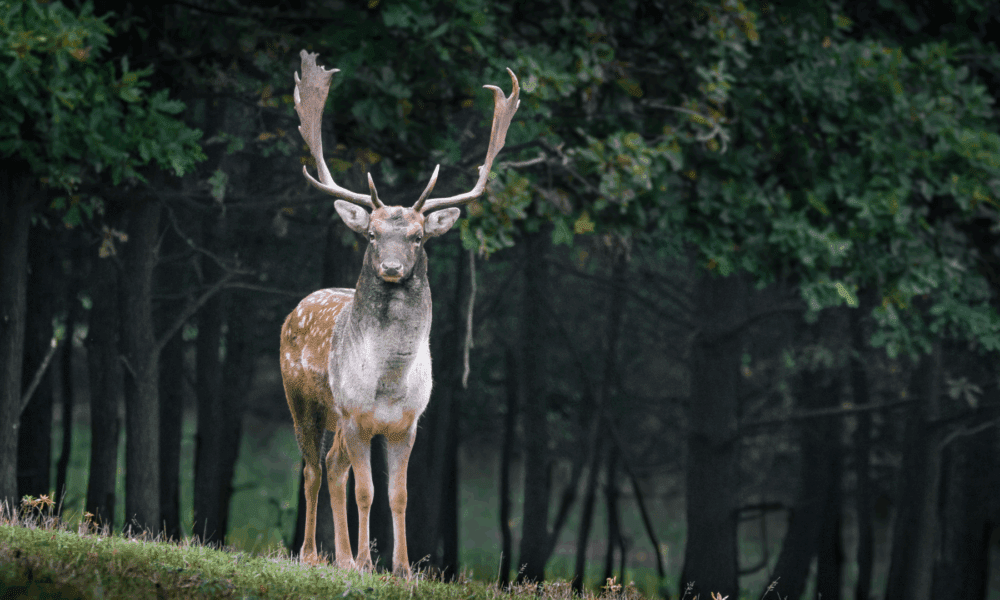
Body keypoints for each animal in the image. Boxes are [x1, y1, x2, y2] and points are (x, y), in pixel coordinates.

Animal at [280, 50, 519, 578]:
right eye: (371, 234)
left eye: (418, 237)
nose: (390, 267)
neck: (388, 382)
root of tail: (297, 307)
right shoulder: (355, 415)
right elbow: (367, 491)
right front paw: (367, 563)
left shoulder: (407, 423)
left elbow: (400, 494)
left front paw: (403, 568)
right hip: (303, 400)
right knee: (312, 468)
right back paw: (312, 554)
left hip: (336, 420)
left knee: (332, 468)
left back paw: (340, 557)